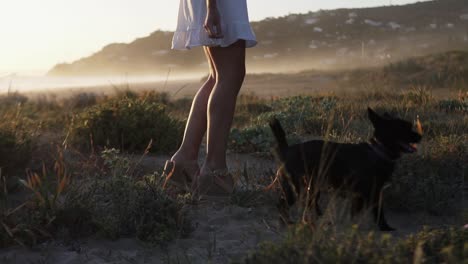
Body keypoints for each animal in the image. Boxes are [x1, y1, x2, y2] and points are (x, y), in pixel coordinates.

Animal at [268, 108, 422, 231]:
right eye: (405, 128)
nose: (420, 136)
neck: (377, 151)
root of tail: (287, 149)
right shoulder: (367, 192)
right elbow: (373, 211)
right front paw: (379, 227)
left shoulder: (371, 192)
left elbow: (367, 211)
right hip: (295, 187)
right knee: (282, 204)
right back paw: (286, 222)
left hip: (313, 185)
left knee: (309, 202)